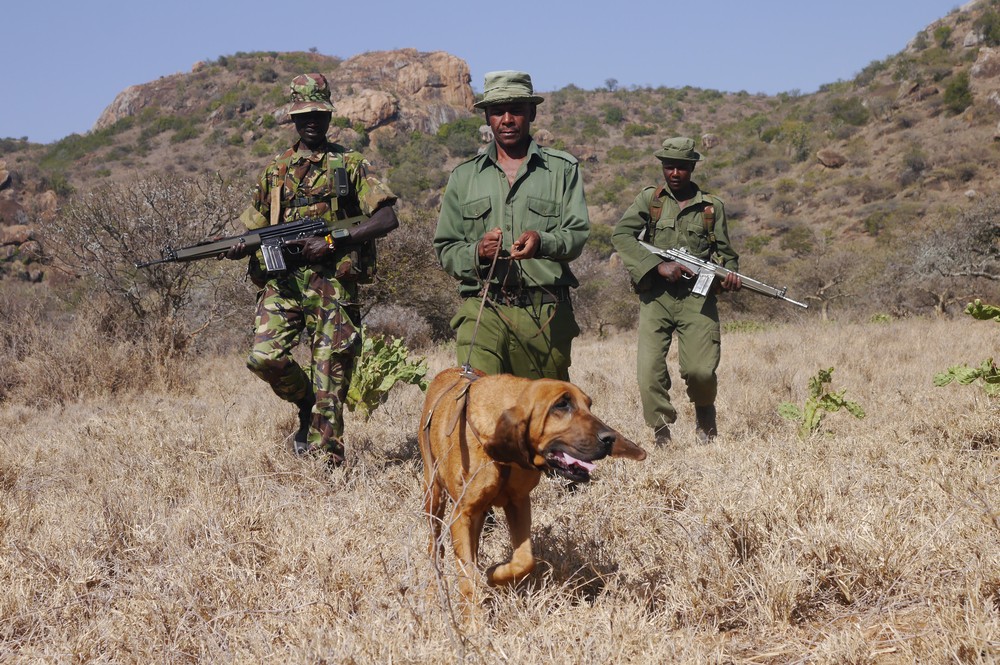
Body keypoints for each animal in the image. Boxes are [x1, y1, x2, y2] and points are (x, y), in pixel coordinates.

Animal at [416, 366, 644, 604]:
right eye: (561, 405)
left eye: (588, 404)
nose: (609, 438)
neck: (503, 458)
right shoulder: (462, 515)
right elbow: (467, 580)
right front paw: (472, 613)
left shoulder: (519, 503)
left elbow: (524, 561)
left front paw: (494, 575)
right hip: (433, 496)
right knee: (435, 546)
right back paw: (433, 588)